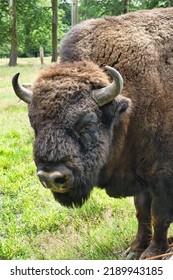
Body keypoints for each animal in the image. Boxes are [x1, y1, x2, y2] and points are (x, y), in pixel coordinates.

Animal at [12, 7, 173, 260]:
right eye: (34, 124)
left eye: (87, 124)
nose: (51, 177)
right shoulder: (139, 173)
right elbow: (142, 212)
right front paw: (134, 249)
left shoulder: (162, 176)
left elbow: (159, 216)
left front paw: (153, 252)